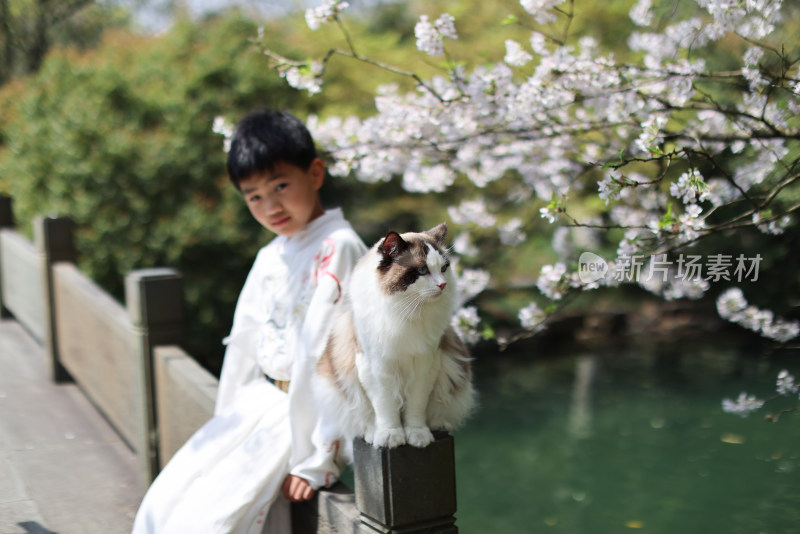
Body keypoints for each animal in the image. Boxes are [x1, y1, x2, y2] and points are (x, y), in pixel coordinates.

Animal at [314, 224, 476, 450]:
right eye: (422, 270)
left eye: (444, 268)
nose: (443, 285)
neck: (408, 312)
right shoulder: (377, 368)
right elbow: (386, 408)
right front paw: (390, 436)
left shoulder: (425, 365)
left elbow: (416, 408)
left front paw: (417, 436)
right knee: (363, 419)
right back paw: (371, 434)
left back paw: (438, 425)